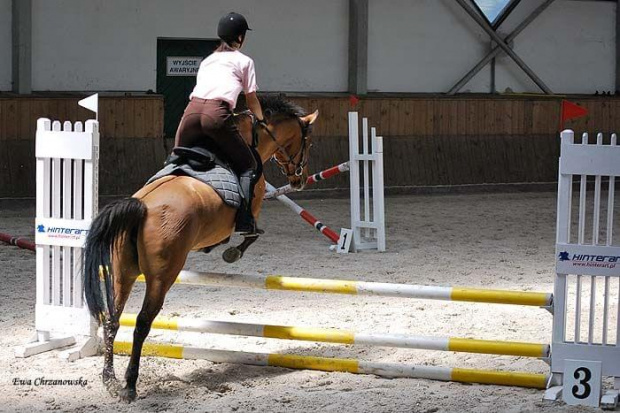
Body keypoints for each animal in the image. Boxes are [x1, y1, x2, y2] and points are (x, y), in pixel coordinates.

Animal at [81, 95, 318, 400]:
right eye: (307, 142)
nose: (300, 179)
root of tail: (141, 206)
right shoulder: (251, 211)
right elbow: (250, 235)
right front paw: (231, 252)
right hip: (161, 277)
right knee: (142, 324)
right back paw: (130, 385)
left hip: (124, 273)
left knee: (112, 320)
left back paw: (109, 380)